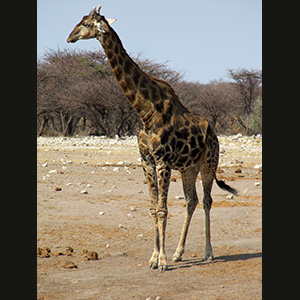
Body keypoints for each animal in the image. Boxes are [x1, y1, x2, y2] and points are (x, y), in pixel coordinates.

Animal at [67, 5, 237, 272]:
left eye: (86, 23)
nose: (70, 37)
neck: (145, 112)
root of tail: (213, 133)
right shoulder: (146, 161)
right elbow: (152, 208)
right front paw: (155, 257)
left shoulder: (162, 161)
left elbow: (162, 209)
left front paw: (163, 261)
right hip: (188, 168)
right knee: (191, 200)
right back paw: (179, 253)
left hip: (209, 163)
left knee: (207, 200)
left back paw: (208, 252)